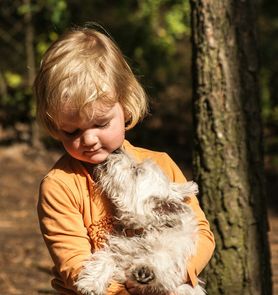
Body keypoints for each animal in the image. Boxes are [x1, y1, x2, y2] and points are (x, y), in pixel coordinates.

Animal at [75, 150, 205, 295]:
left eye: (137, 171)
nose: (117, 151)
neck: (142, 231)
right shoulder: (115, 251)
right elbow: (104, 259)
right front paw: (91, 283)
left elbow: (161, 259)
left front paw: (146, 269)